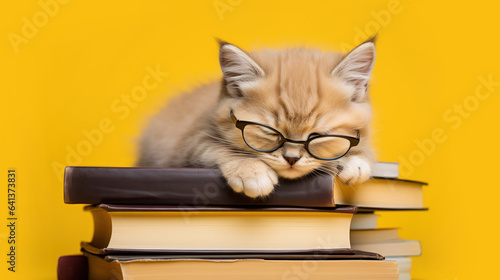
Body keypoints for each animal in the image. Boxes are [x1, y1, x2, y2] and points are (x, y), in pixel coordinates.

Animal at [137, 38, 376, 197]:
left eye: (317, 136)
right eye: (270, 131)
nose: (291, 159)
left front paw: (355, 161)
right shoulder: (191, 142)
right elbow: (219, 147)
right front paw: (251, 171)